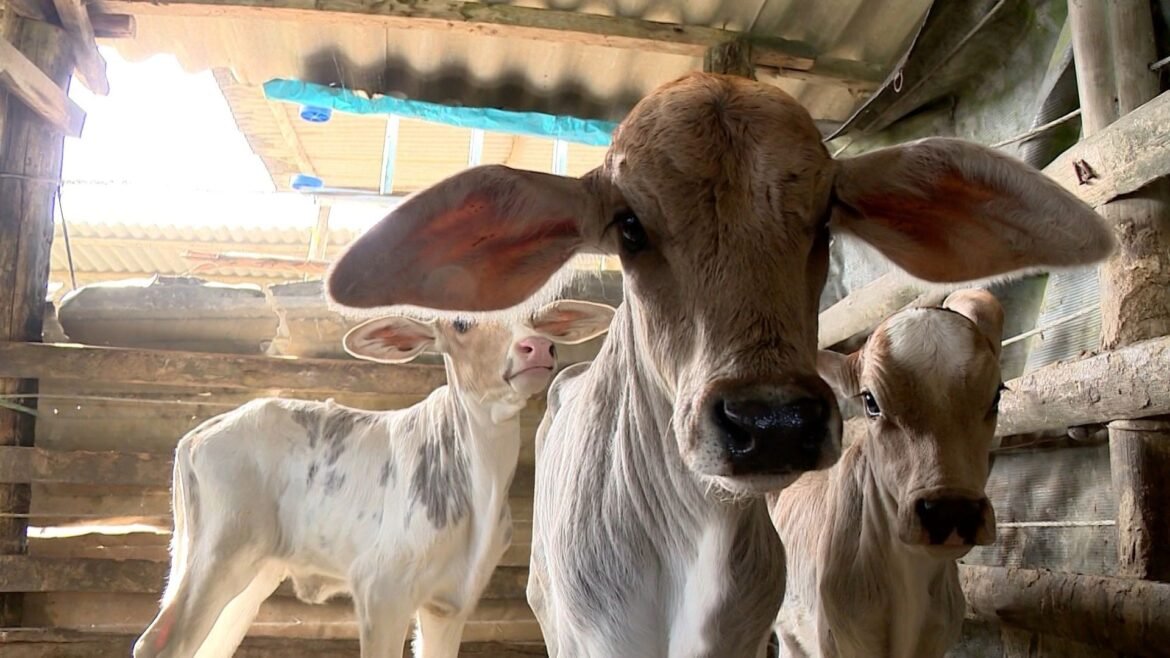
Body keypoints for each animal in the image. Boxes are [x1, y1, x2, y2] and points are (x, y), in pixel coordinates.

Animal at [132, 300, 615, 658]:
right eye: (462, 323)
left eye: (537, 318)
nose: (537, 346)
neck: (480, 493)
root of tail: (202, 432)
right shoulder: (380, 588)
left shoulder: (451, 602)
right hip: (221, 550)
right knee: (161, 643)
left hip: (254, 570)